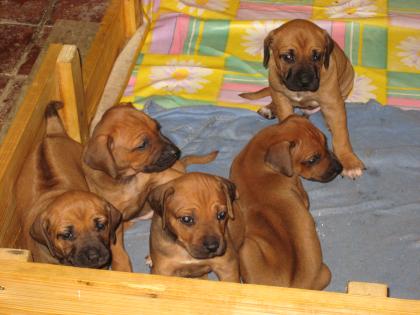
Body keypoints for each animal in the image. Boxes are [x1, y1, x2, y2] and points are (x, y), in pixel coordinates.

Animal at [83, 103, 218, 272]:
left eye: (158, 127)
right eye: (142, 145)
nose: (176, 152)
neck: (128, 178)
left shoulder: (161, 176)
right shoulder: (112, 217)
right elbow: (117, 248)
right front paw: (122, 268)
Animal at [228, 115, 342, 290]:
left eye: (326, 142)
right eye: (312, 159)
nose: (339, 168)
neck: (263, 147)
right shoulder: (299, 189)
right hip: (246, 248)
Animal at [240, 18, 364, 179]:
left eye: (317, 56)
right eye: (288, 57)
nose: (305, 80)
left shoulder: (332, 103)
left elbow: (341, 135)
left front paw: (349, 161)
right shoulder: (281, 96)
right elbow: (285, 117)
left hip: (347, 80)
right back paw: (270, 108)